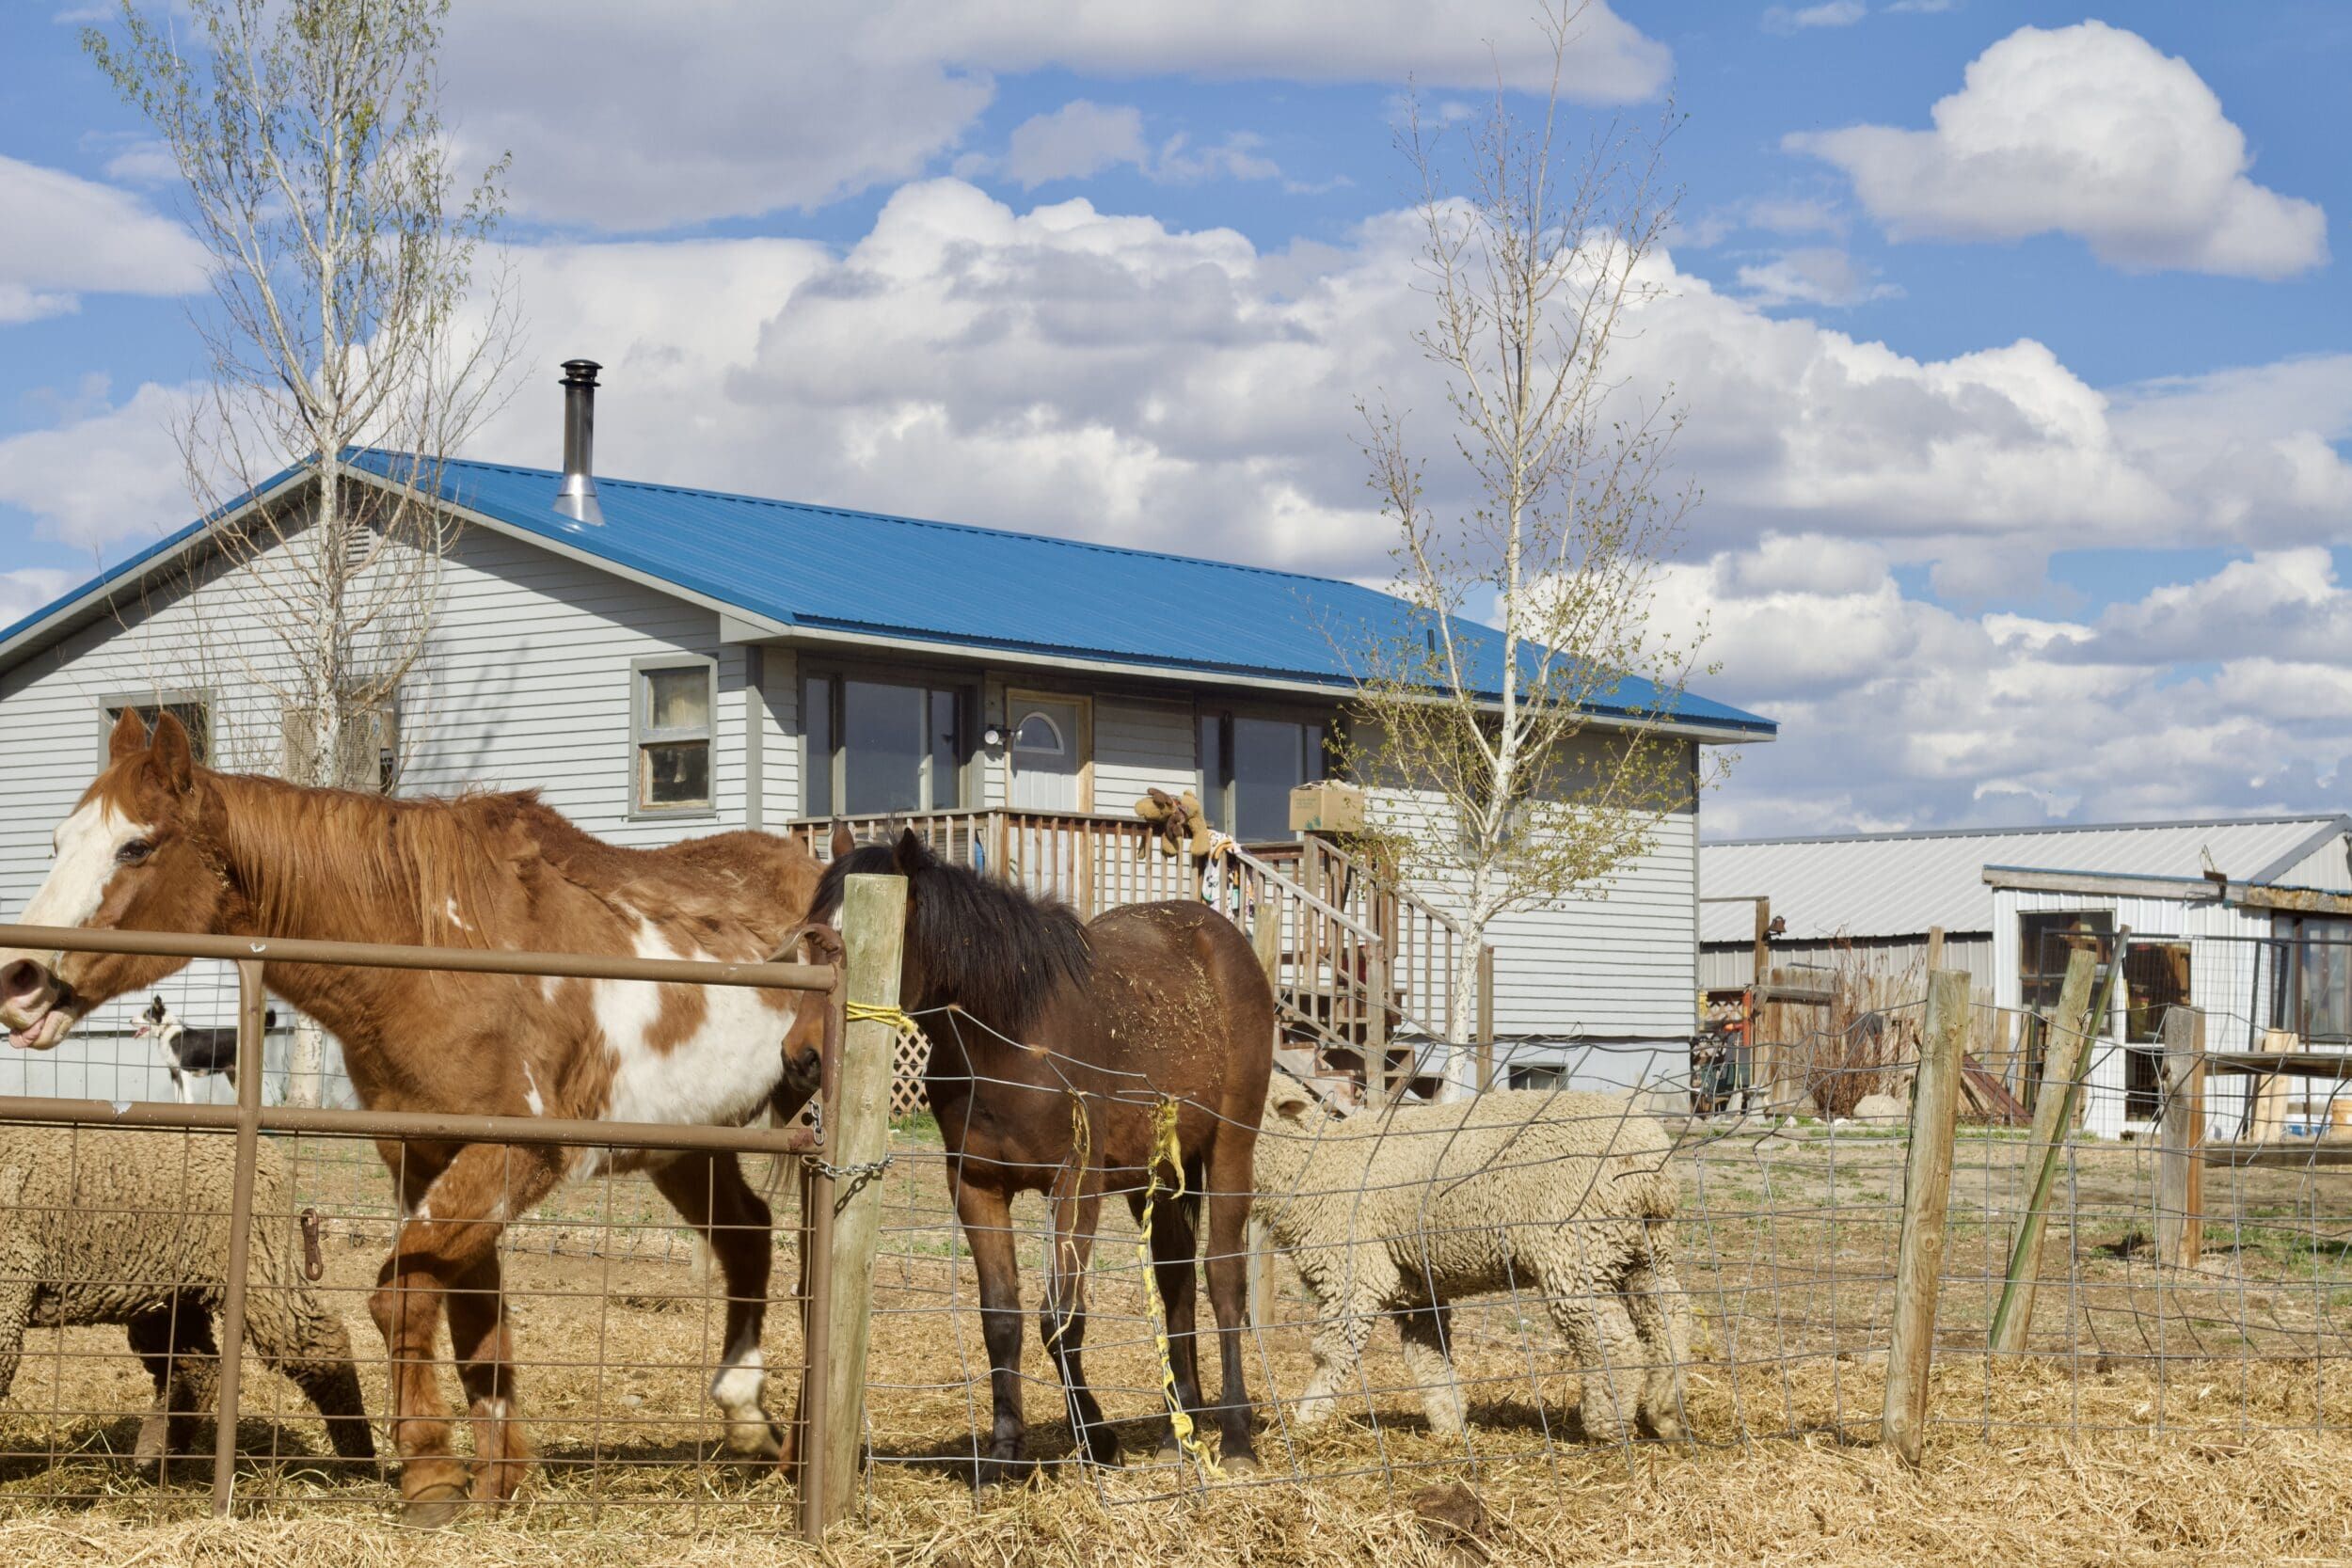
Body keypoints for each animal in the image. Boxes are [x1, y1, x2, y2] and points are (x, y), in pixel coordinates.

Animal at [0, 709, 831, 1525]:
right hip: (685, 1145)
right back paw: (747, 1419)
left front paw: (431, 1475)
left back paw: (804, 1458)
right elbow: (473, 1320)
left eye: (136, 845)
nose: (20, 978)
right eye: (57, 842)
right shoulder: (426, 1155)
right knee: (748, 1237)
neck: (442, 951)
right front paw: (494, 1482)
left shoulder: (519, 1154)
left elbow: (399, 1297)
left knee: (812, 1277)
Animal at [810, 824, 1273, 1483]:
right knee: (1175, 1279)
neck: (1013, 1040)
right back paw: (1178, 1433)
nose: (808, 1053)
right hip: (1156, 1176)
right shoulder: (976, 1187)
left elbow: (1061, 1319)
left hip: (1231, 1150)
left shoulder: (1074, 1185)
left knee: (1224, 1278)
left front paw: (1098, 1441)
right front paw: (1006, 1454)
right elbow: (1001, 1318)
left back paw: (1234, 1435)